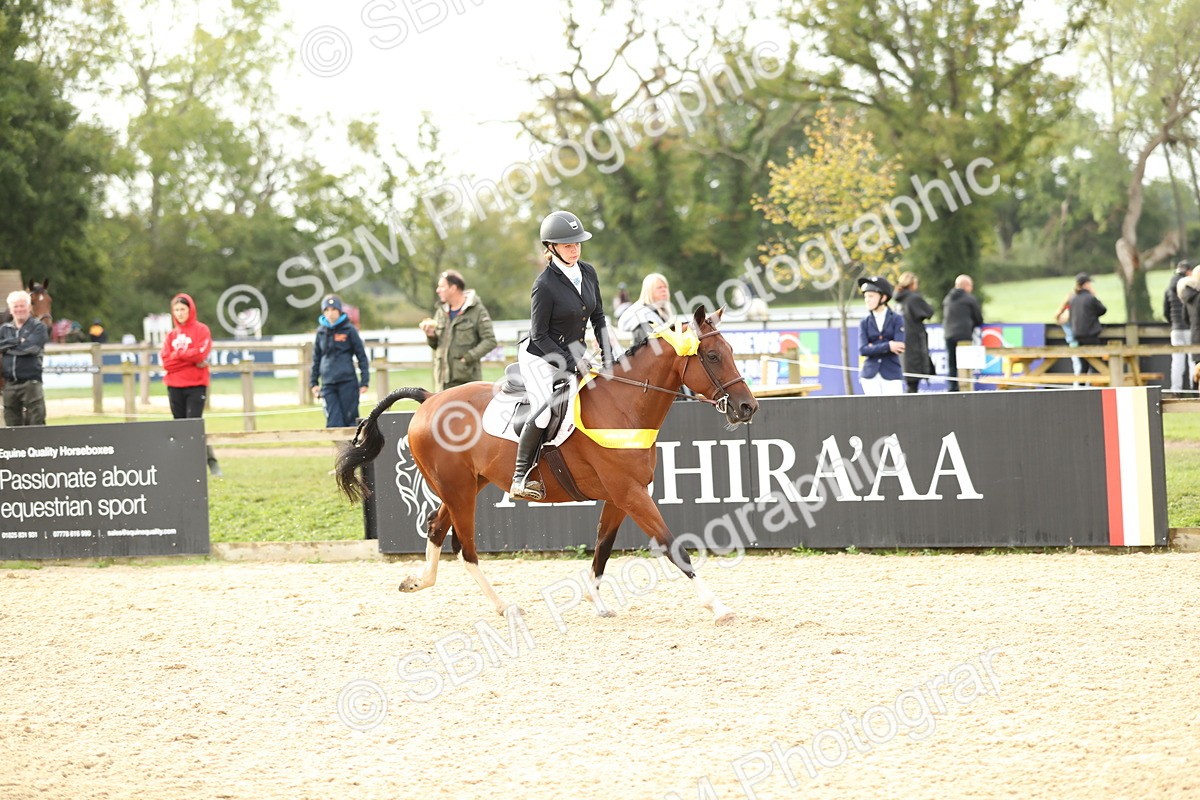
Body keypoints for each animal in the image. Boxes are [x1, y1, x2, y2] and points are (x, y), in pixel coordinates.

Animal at [335, 306, 759, 624]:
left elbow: (602, 548)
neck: (623, 406)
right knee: (464, 548)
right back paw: (504, 606)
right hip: (459, 491)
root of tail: (429, 398)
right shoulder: (631, 494)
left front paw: (597, 602)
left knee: (437, 529)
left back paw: (419, 582)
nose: (747, 407)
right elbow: (675, 547)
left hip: (466, 486)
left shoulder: (620, 497)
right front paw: (718, 607)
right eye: (713, 356)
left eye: (730, 351)